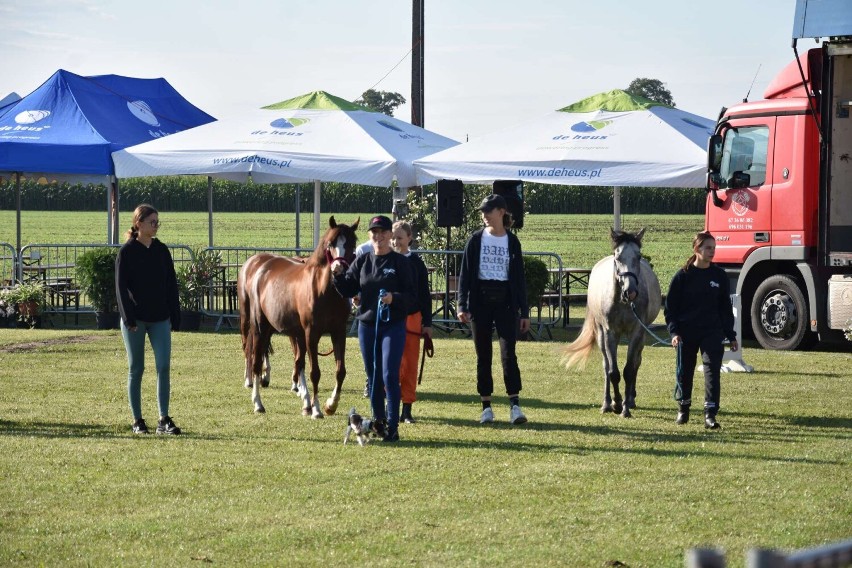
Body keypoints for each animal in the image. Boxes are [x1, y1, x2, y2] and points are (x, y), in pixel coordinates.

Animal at [236, 217, 360, 418]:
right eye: (330, 244)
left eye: (352, 243)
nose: (338, 270)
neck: (325, 291)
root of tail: (259, 267)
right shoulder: (311, 333)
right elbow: (314, 372)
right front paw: (317, 409)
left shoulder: (338, 332)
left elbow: (340, 371)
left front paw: (330, 405)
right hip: (259, 326)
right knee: (255, 359)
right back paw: (258, 402)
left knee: (294, 361)